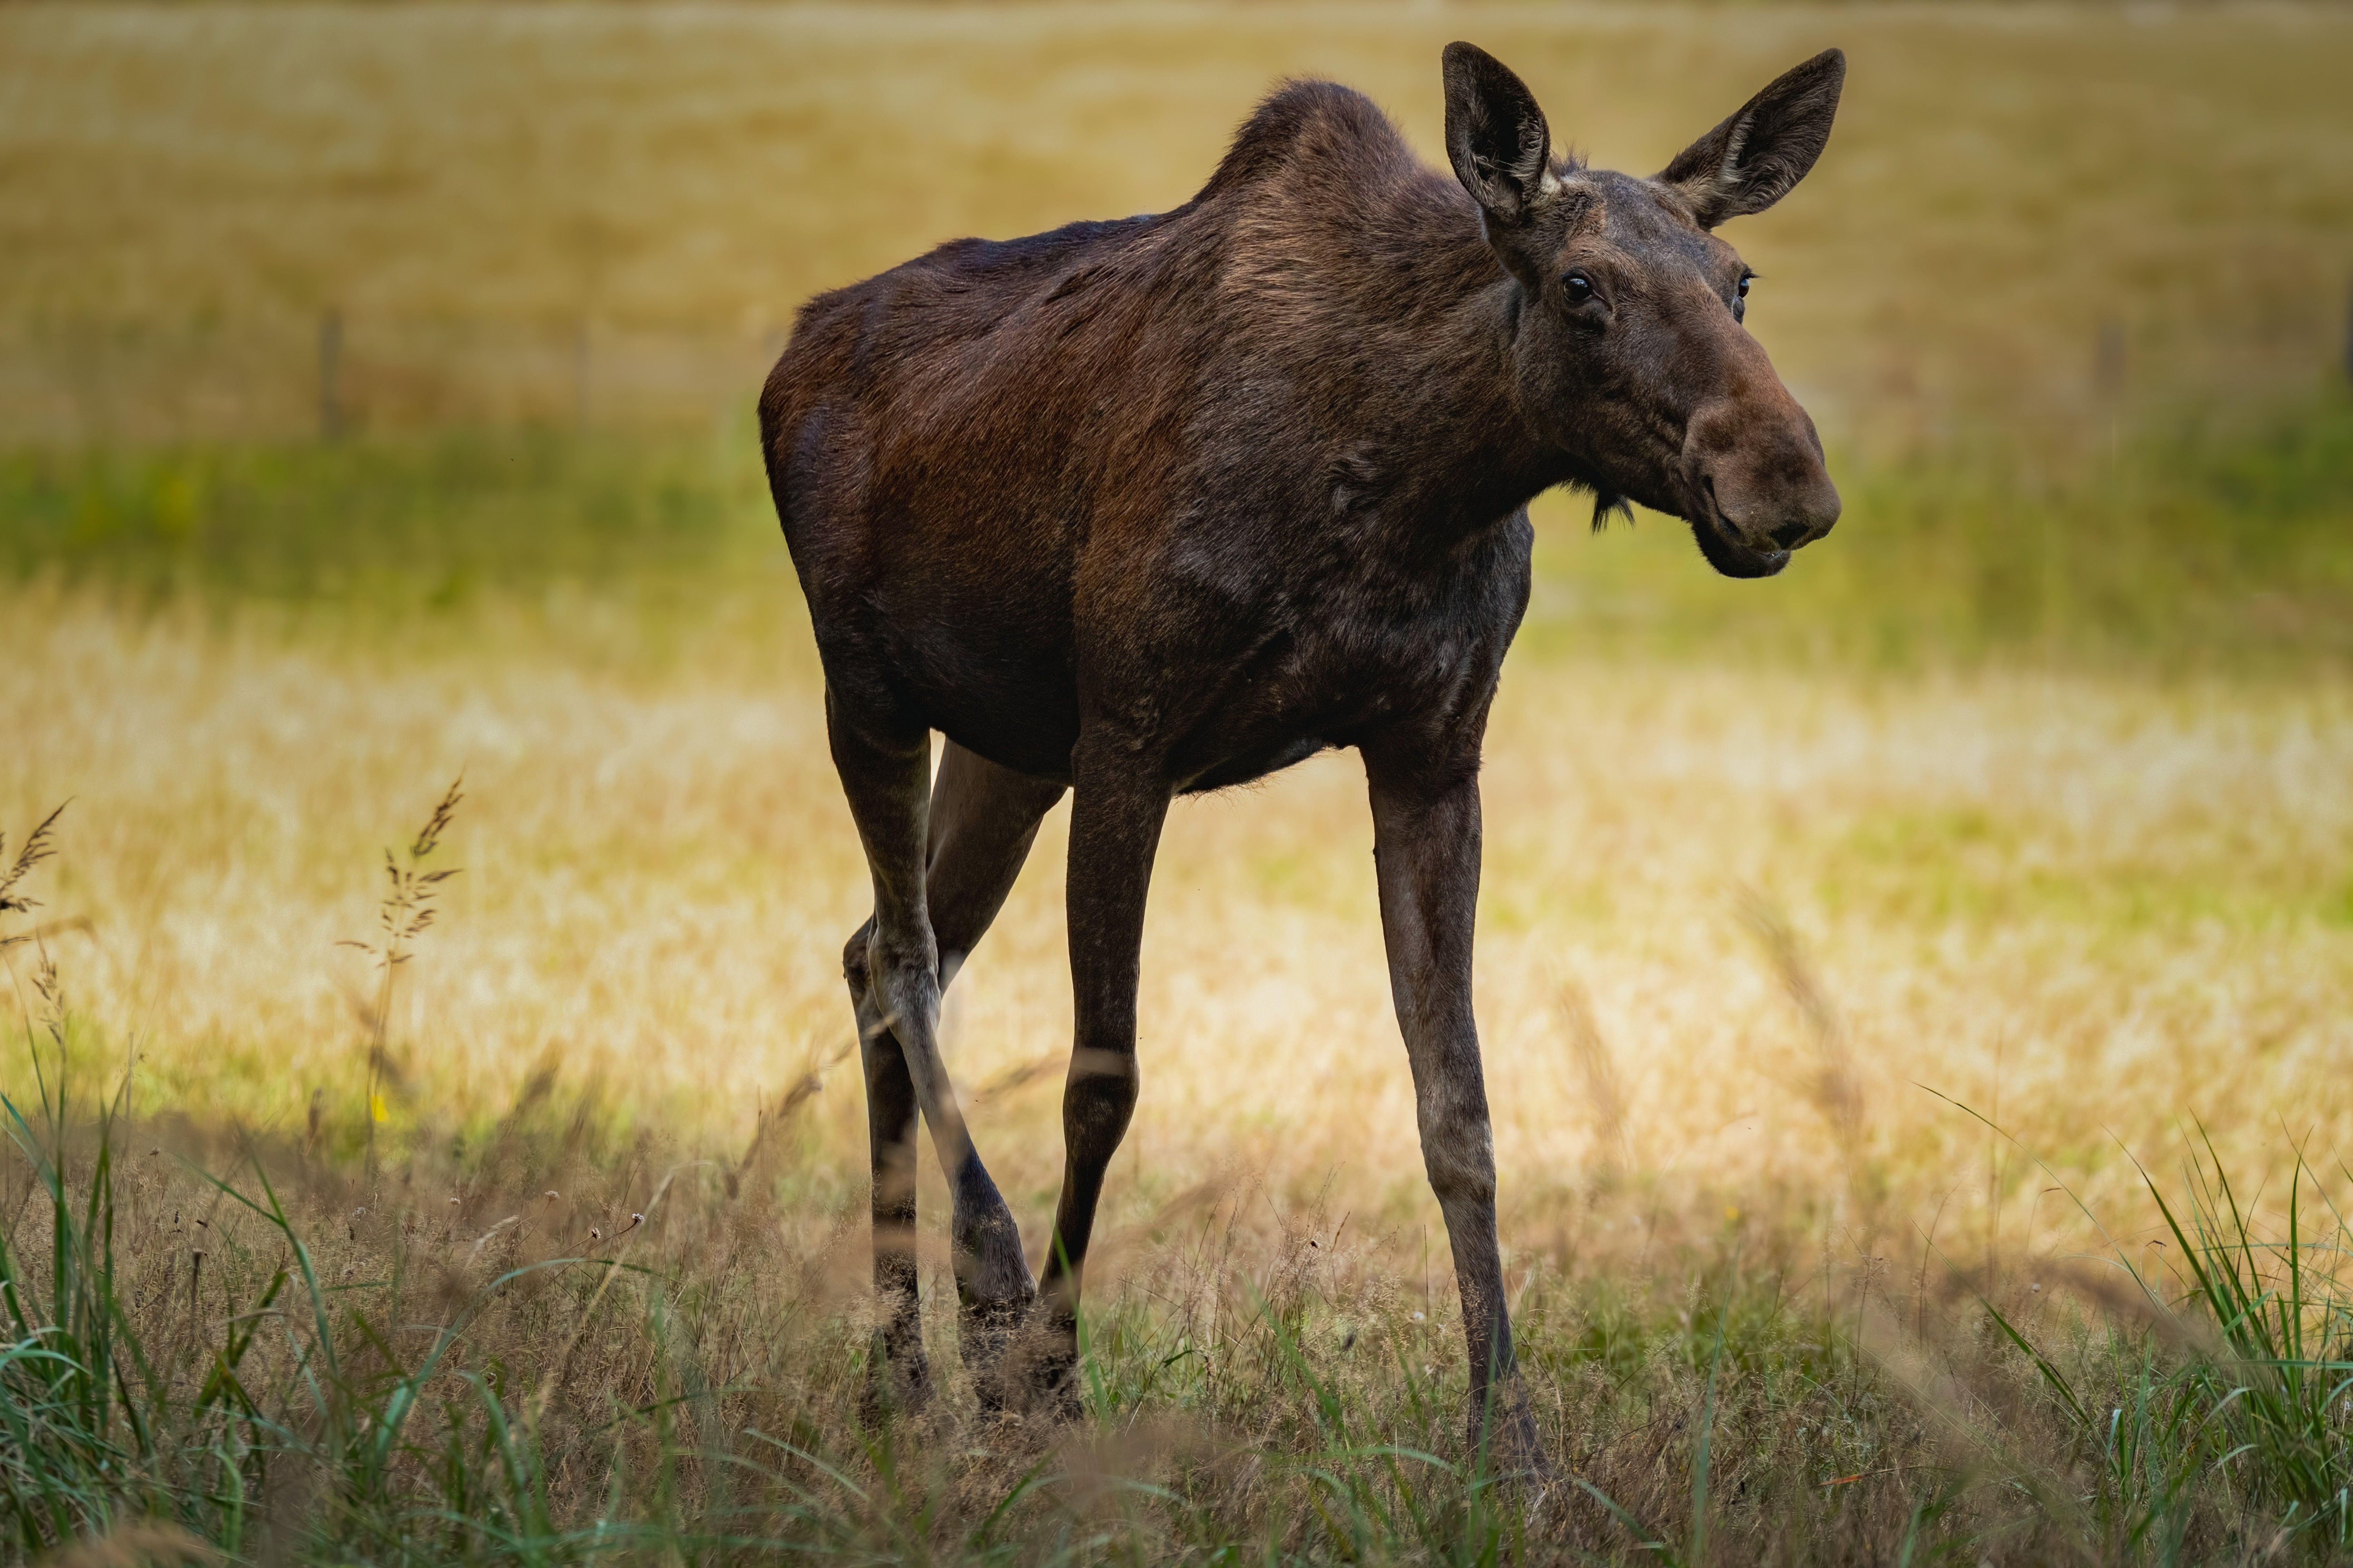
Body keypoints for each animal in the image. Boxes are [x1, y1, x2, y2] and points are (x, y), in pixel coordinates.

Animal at [759, 40, 1845, 1472]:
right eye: (1578, 286)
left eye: (1738, 279)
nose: (1784, 484)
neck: (1418, 476)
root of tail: (787, 354)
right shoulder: (1132, 732)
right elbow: (1101, 1082)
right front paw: (1051, 1372)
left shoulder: (1431, 751)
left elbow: (1458, 1106)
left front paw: (1507, 1436)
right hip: (869, 692)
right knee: (900, 956)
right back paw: (978, 1305)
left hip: (1011, 748)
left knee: (872, 953)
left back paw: (899, 1378)